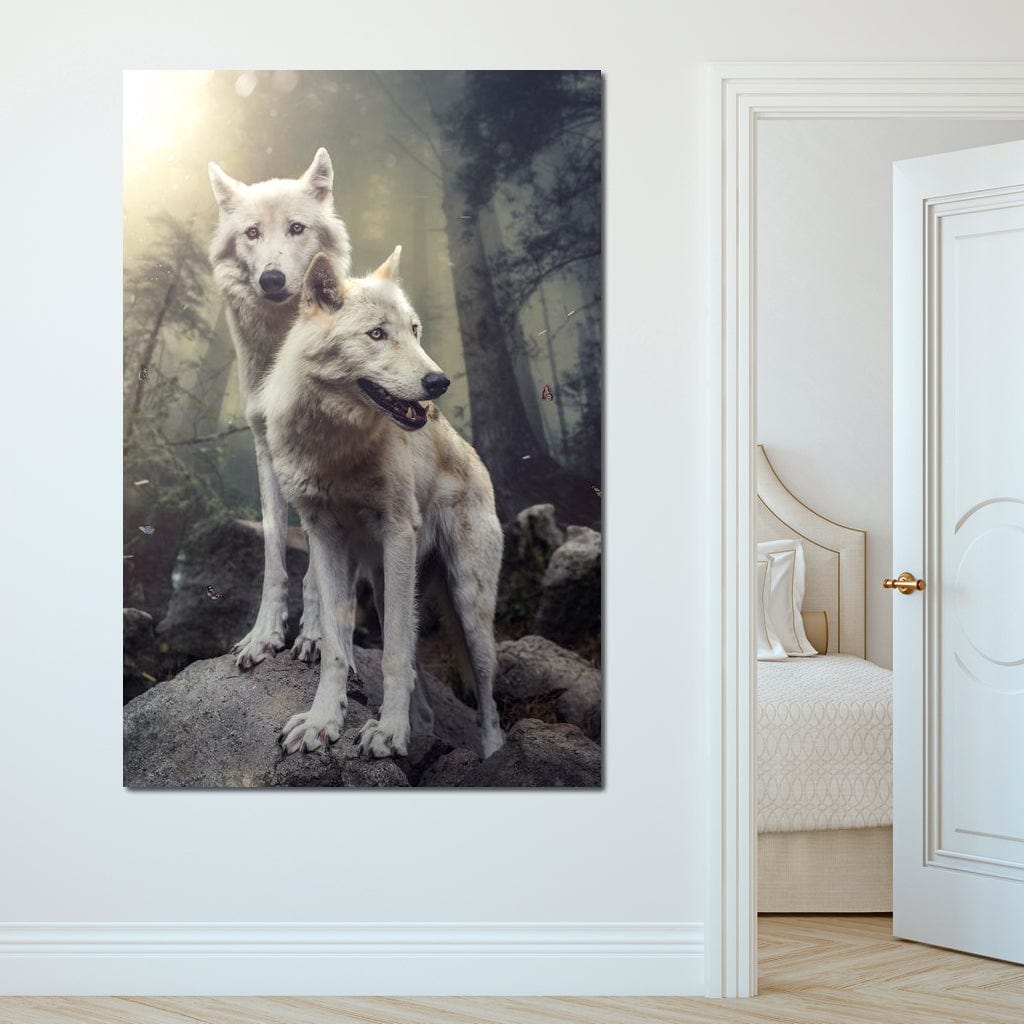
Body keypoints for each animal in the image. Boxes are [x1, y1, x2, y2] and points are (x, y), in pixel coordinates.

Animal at [208, 149, 351, 670]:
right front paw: (263, 636)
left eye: (296, 228)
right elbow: (273, 555)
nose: (272, 278)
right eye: (252, 233)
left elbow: (318, 567)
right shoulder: (266, 450)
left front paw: (315, 636)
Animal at [257, 247, 504, 759]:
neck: (336, 446)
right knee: (418, 678)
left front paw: (389, 733)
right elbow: (336, 646)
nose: (439, 382)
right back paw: (421, 727)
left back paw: (493, 755)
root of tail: (474, 457)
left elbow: (391, 656)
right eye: (376, 334)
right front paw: (323, 722)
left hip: (468, 607)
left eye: (414, 330)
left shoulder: (397, 533)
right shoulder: (323, 538)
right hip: (388, 582)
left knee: (487, 698)